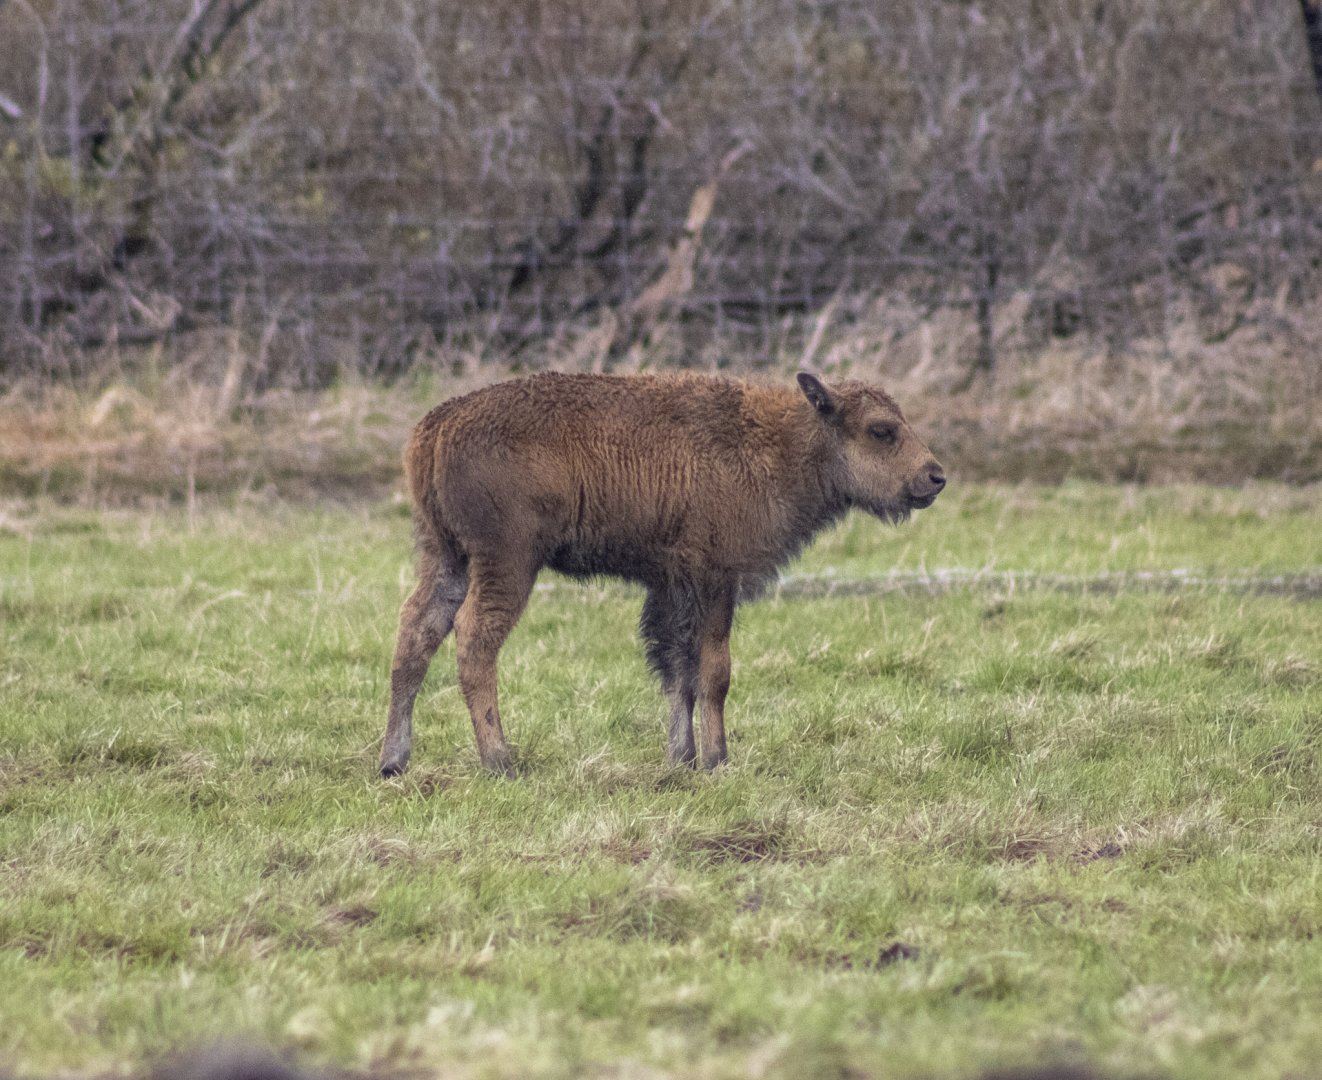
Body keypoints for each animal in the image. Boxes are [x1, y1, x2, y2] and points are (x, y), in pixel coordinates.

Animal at [379, 370, 944, 777]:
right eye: (881, 430)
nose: (935, 476)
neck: (776, 443)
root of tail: (436, 426)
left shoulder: (672, 587)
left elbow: (678, 673)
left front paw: (682, 759)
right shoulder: (716, 578)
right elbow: (713, 673)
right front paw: (717, 761)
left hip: (444, 555)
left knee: (415, 634)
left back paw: (393, 762)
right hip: (507, 563)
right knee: (474, 639)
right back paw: (501, 762)